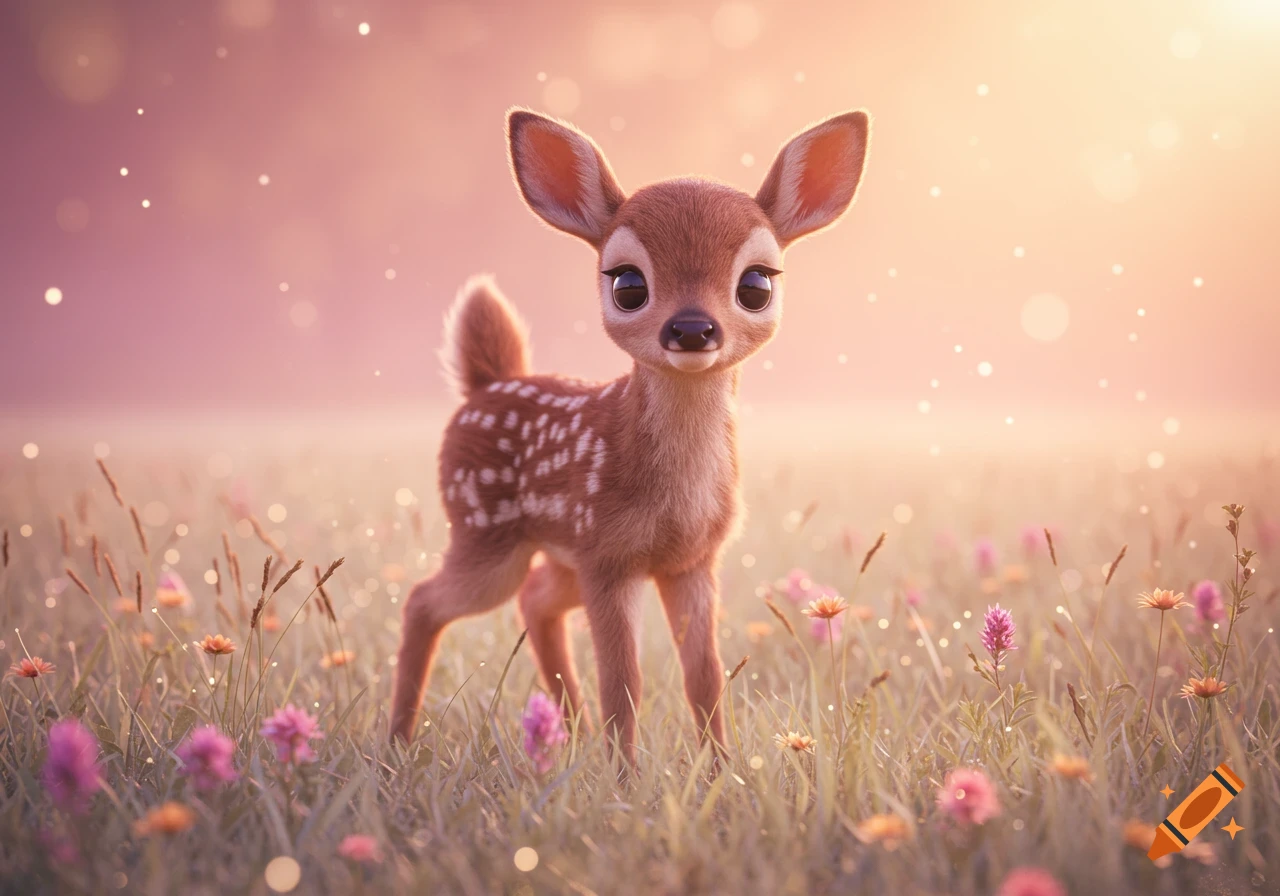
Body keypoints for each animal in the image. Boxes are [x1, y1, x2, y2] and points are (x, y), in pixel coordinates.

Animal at [390, 107, 871, 764]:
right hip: (487, 532)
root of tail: (486, 382)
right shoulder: (609, 554)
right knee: (425, 600)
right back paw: (396, 744)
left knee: (534, 598)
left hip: (556, 552)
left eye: (757, 283)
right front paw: (626, 777)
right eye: (627, 284)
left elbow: (704, 677)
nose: (692, 329)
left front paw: (722, 772)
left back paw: (569, 734)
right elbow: (626, 681)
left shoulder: (690, 560)